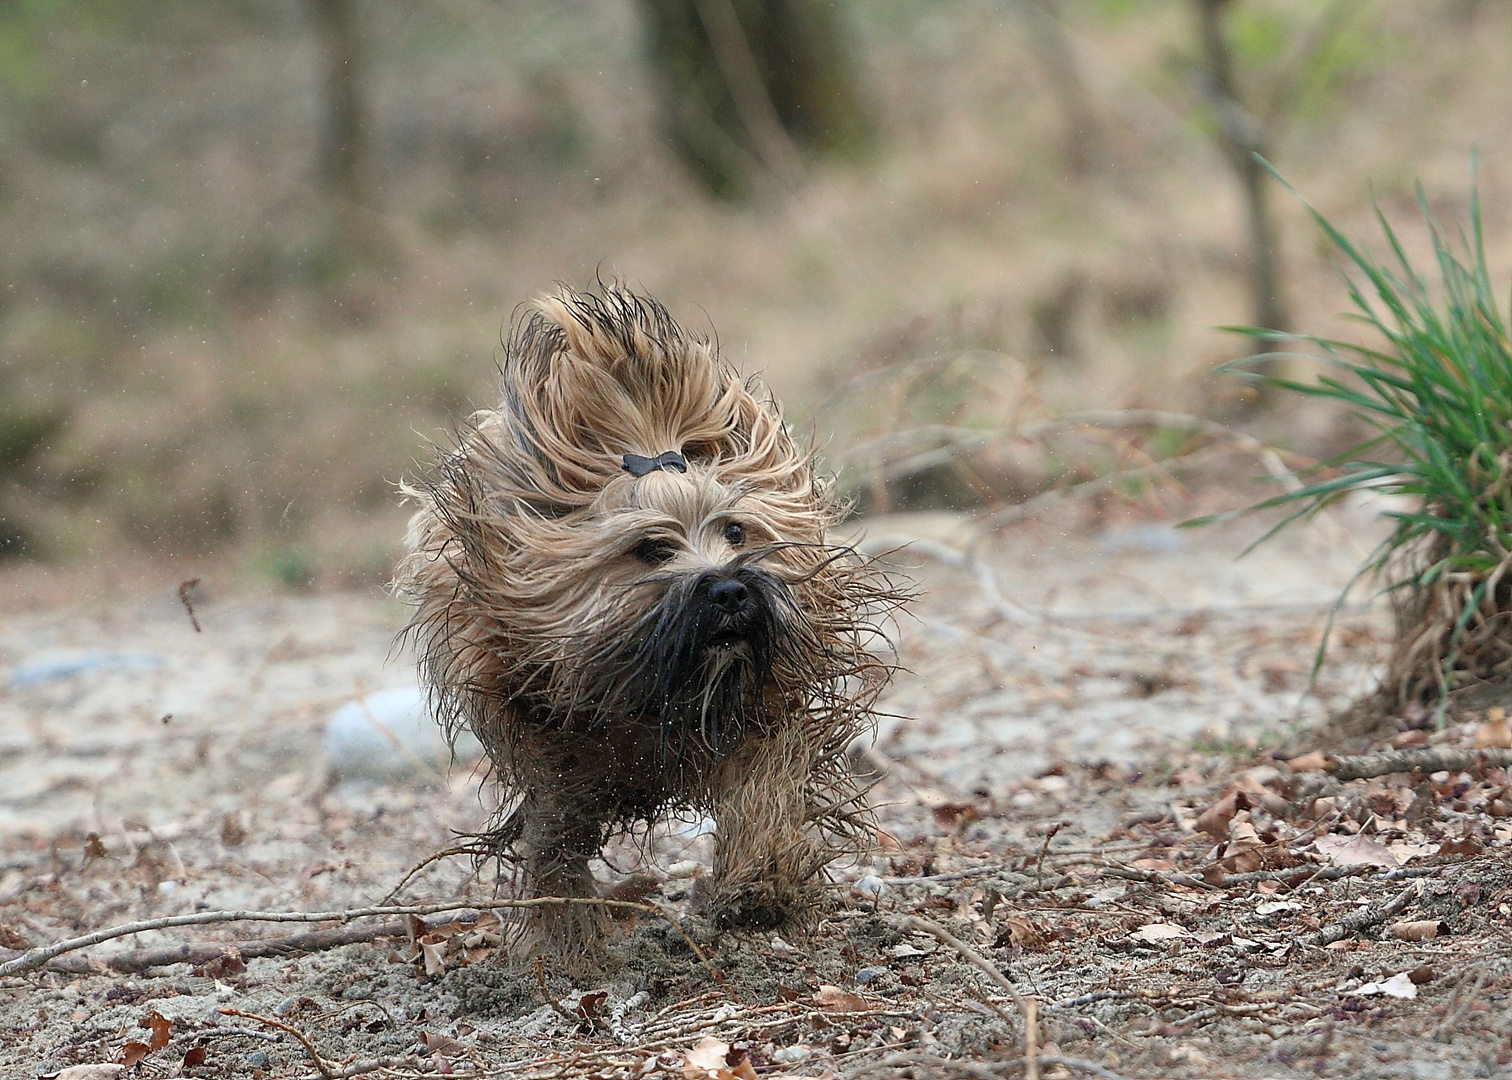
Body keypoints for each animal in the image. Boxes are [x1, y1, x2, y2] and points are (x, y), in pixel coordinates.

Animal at [402, 285, 889, 962]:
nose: (730, 590)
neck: (657, 691)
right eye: (652, 549)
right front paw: (567, 939)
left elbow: (765, 786)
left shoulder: (762, 717)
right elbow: (554, 835)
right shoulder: (548, 746)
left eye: (735, 531)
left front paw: (760, 884)